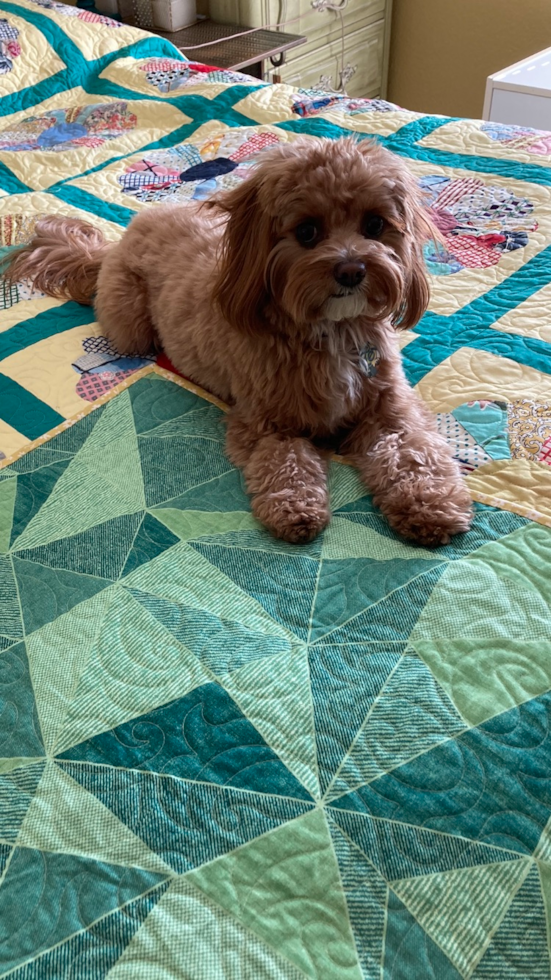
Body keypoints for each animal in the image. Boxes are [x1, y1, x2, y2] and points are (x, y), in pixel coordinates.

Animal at [7, 135, 474, 548]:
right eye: (307, 232)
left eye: (375, 224)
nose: (351, 270)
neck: (332, 330)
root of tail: (121, 239)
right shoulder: (267, 424)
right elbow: (286, 463)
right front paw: (294, 508)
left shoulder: (392, 412)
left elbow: (412, 454)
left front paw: (429, 505)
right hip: (130, 326)